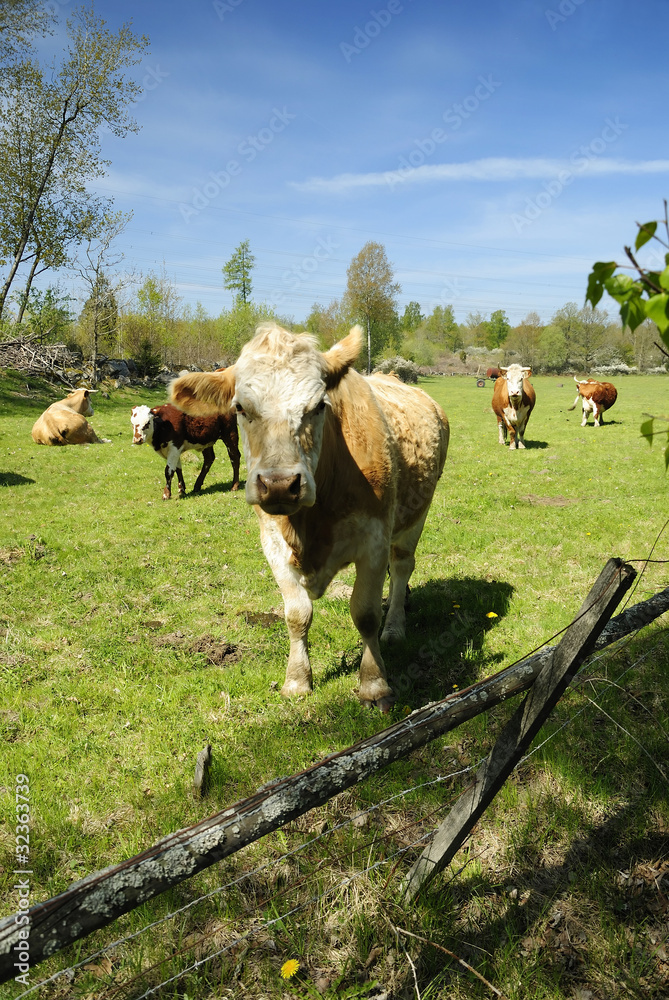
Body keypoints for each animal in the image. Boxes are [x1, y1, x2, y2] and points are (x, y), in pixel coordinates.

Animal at [170, 326, 448, 712]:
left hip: (415, 517)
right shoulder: (273, 544)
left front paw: (374, 683)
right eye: (240, 407)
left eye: (318, 406)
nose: (279, 484)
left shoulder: (374, 542)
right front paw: (297, 680)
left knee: (403, 566)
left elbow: (365, 613)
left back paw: (394, 627)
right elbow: (297, 615)